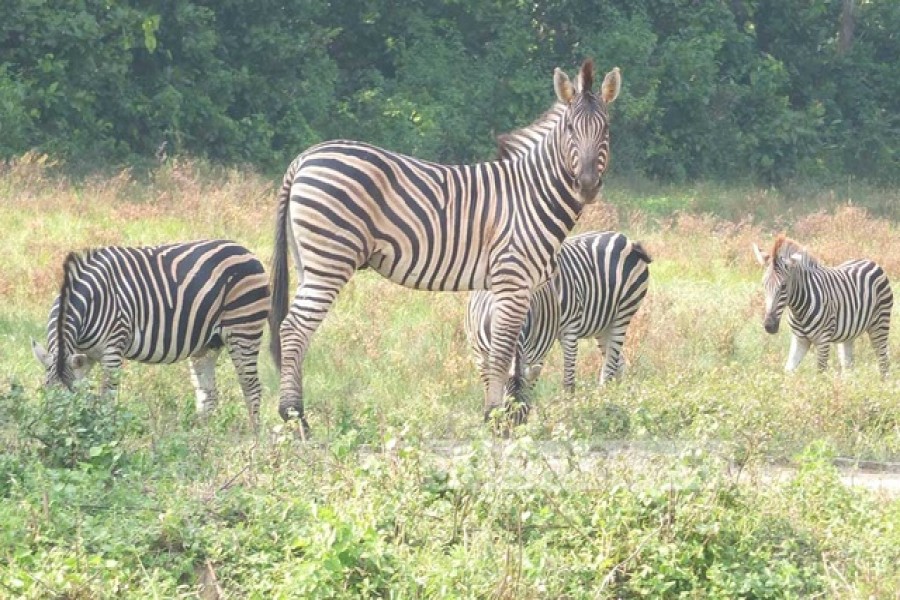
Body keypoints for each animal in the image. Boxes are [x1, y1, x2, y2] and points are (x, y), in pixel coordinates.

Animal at [31, 240, 270, 427]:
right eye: (46, 399)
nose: (57, 434)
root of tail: (246, 250)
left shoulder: (113, 350)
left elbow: (107, 398)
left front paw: (106, 433)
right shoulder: (84, 356)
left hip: (244, 329)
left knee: (251, 387)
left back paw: (254, 439)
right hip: (208, 344)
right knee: (207, 394)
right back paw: (203, 438)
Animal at [269, 59, 622, 429]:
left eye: (606, 130)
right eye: (569, 128)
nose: (586, 186)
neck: (532, 194)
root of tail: (304, 158)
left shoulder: (515, 288)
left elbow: (514, 356)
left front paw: (511, 414)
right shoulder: (512, 279)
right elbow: (501, 354)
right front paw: (495, 417)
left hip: (309, 261)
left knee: (296, 330)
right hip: (330, 259)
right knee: (294, 329)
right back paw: (296, 419)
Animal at [467, 231, 652, 400]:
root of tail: (627, 240)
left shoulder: (568, 329)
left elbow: (568, 380)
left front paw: (568, 406)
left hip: (623, 313)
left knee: (610, 365)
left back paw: (603, 399)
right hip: (604, 324)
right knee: (617, 363)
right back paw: (615, 397)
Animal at [752, 235, 892, 376]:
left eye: (783, 286)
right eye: (764, 284)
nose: (769, 326)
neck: (798, 310)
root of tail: (870, 261)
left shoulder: (823, 340)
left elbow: (820, 375)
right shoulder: (799, 339)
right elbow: (788, 371)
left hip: (880, 324)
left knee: (883, 361)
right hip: (849, 334)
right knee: (848, 366)